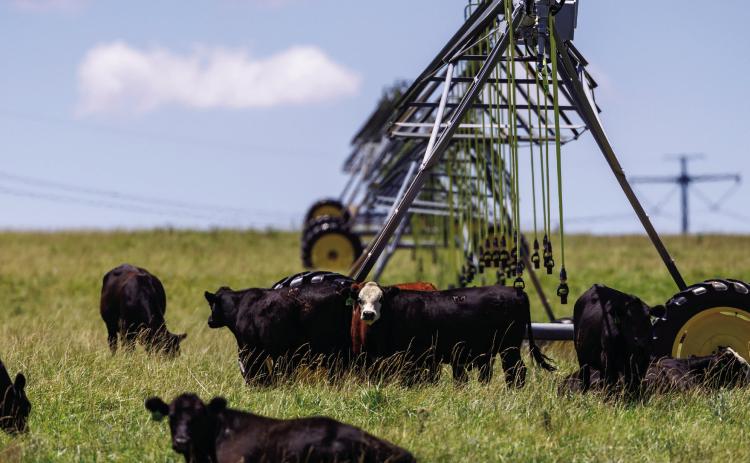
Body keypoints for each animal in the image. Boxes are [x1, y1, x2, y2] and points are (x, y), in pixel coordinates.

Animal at [204, 279, 353, 385]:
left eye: (211, 305)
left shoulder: (250, 349)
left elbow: (257, 372)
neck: (239, 307)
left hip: (330, 349)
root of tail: (340, 290)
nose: (209, 320)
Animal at [352, 282, 555, 387]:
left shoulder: (413, 357)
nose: (368, 314)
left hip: (509, 347)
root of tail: (517, 291)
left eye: (380, 299)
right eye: (360, 300)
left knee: (516, 371)